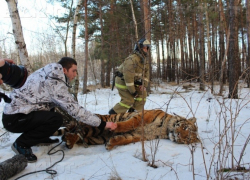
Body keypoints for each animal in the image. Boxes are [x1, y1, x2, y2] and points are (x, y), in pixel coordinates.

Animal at [53, 109, 200, 150]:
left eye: (187, 139)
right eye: (184, 127)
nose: (179, 136)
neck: (164, 130)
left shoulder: (139, 135)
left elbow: (125, 139)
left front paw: (111, 143)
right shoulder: (143, 116)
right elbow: (129, 123)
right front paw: (116, 127)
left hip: (96, 136)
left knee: (77, 134)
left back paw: (69, 141)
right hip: (94, 123)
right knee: (76, 129)